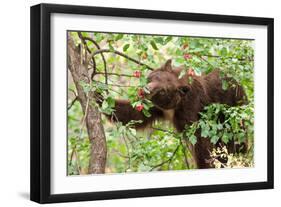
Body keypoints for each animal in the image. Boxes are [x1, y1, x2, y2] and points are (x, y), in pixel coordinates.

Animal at [99, 59, 246, 168]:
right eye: (153, 78)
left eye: (162, 91)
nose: (145, 90)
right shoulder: (155, 107)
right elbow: (134, 115)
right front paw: (100, 96)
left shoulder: (191, 105)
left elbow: (199, 138)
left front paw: (205, 164)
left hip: (231, 108)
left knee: (235, 140)